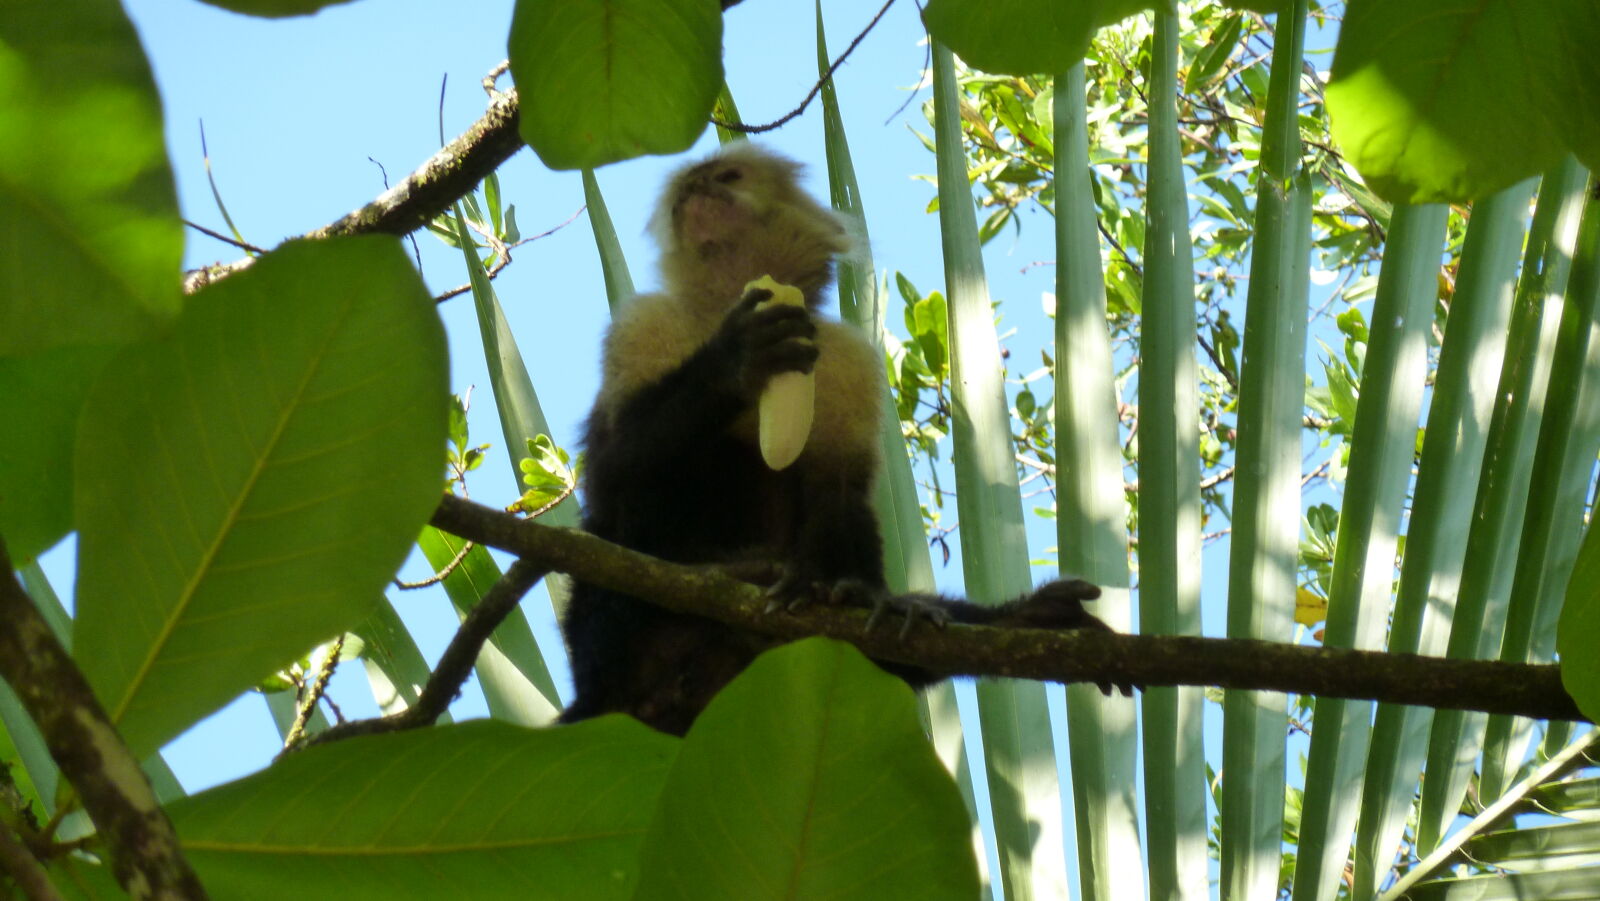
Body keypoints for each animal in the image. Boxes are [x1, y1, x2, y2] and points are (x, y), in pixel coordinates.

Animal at [559, 143, 1116, 736]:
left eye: (727, 177)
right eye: (688, 189)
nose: (698, 190)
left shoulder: (848, 356)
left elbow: (840, 488)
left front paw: (869, 596)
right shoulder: (644, 324)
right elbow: (615, 472)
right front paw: (736, 361)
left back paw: (1008, 618)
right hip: (600, 635)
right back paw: (730, 572)